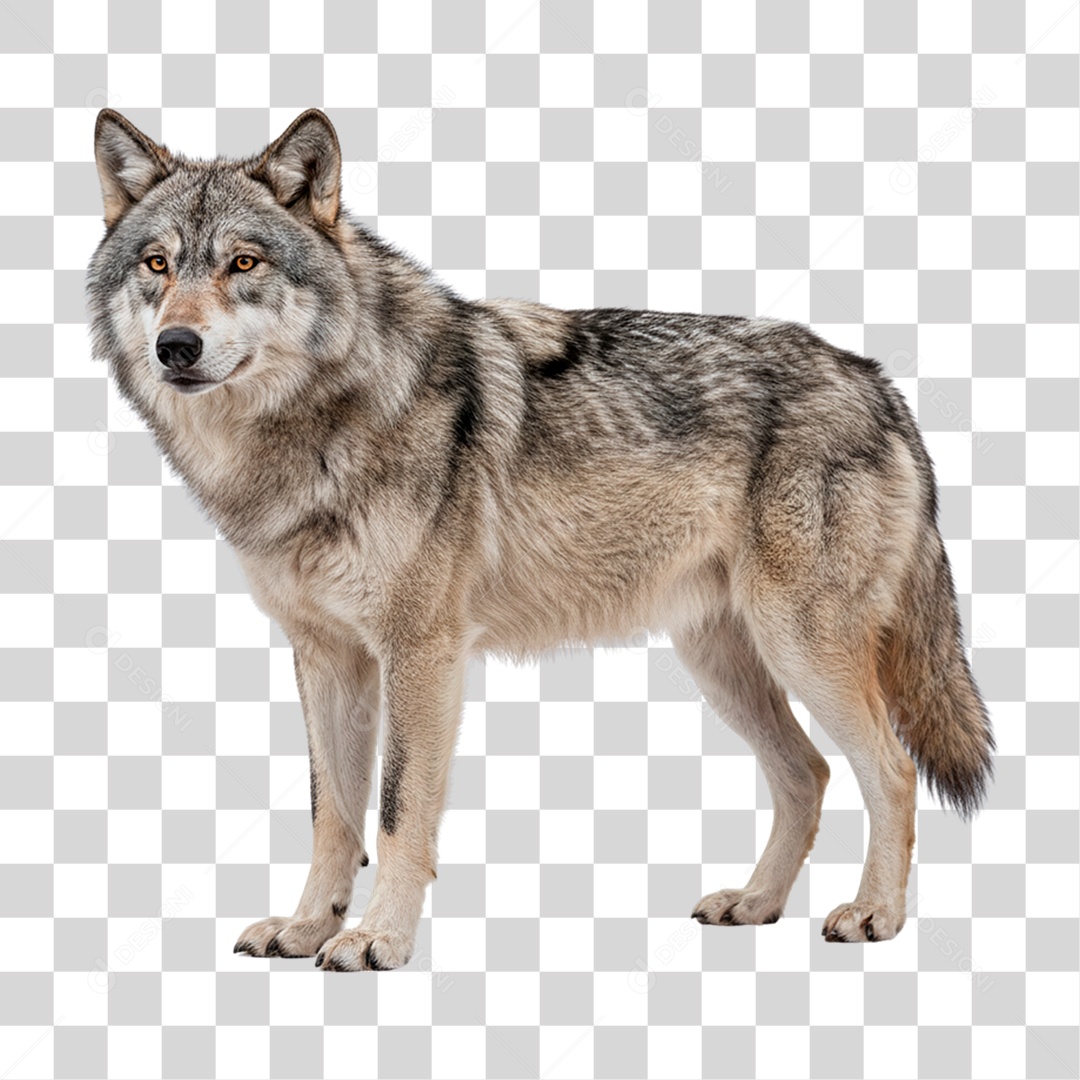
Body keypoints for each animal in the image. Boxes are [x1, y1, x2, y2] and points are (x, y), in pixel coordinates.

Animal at [86, 108, 994, 969]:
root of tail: (878, 382)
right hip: (722, 660)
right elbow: (332, 815)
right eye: (157, 266)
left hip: (800, 647)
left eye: (243, 264)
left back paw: (874, 914)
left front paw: (378, 940)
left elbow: (396, 812)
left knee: (891, 771)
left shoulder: (421, 653)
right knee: (809, 774)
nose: (176, 346)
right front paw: (309, 927)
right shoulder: (325, 656)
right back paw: (755, 903)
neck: (314, 428)